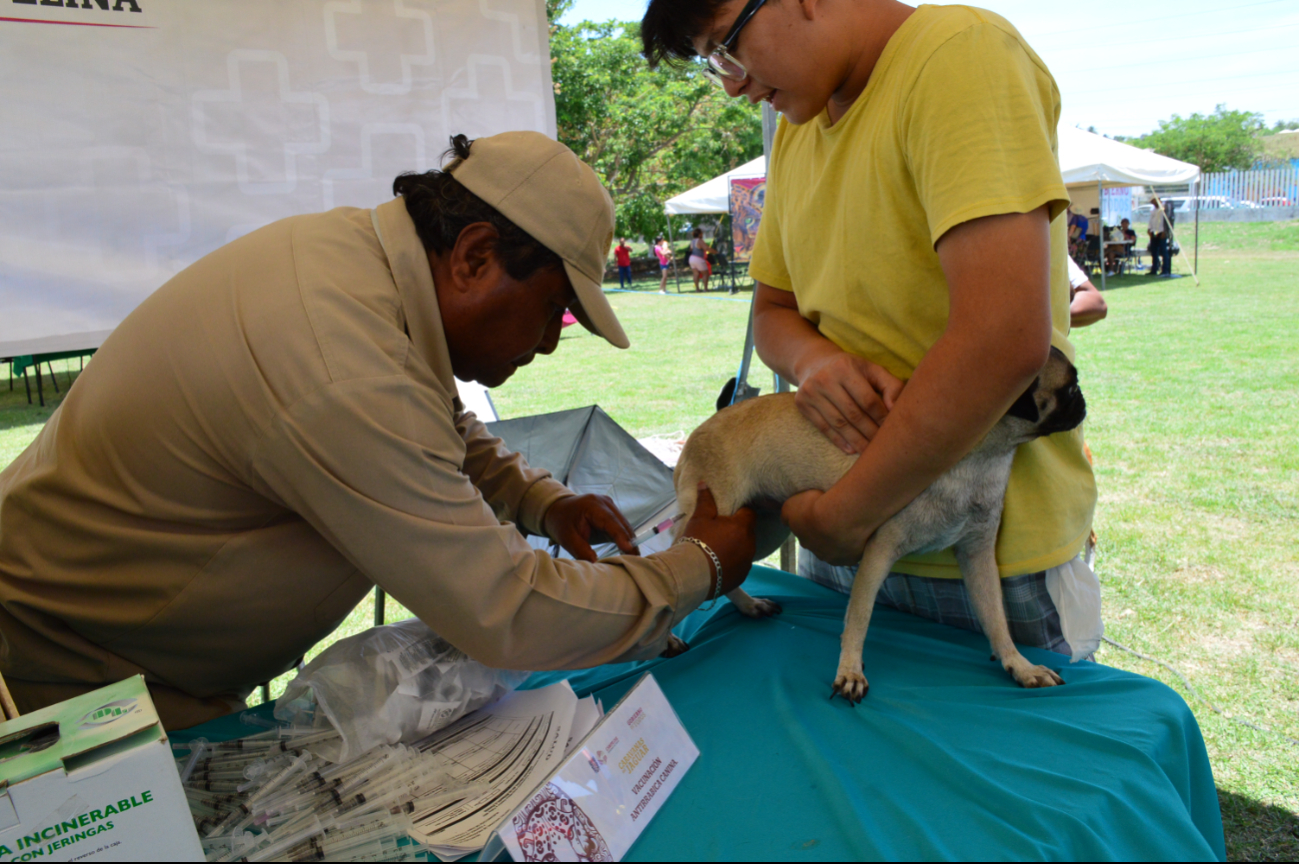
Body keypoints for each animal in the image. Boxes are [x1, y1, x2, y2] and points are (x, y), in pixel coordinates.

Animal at [670, 345, 1085, 701]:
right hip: (718, 517)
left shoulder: (978, 556)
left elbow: (996, 620)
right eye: (1069, 388)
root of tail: (708, 422)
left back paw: (748, 606)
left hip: (760, 531)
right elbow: (859, 617)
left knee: (723, 569)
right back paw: (670, 636)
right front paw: (850, 671)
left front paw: (1019, 665)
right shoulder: (879, 553)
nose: (1083, 402)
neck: (979, 457)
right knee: (679, 557)